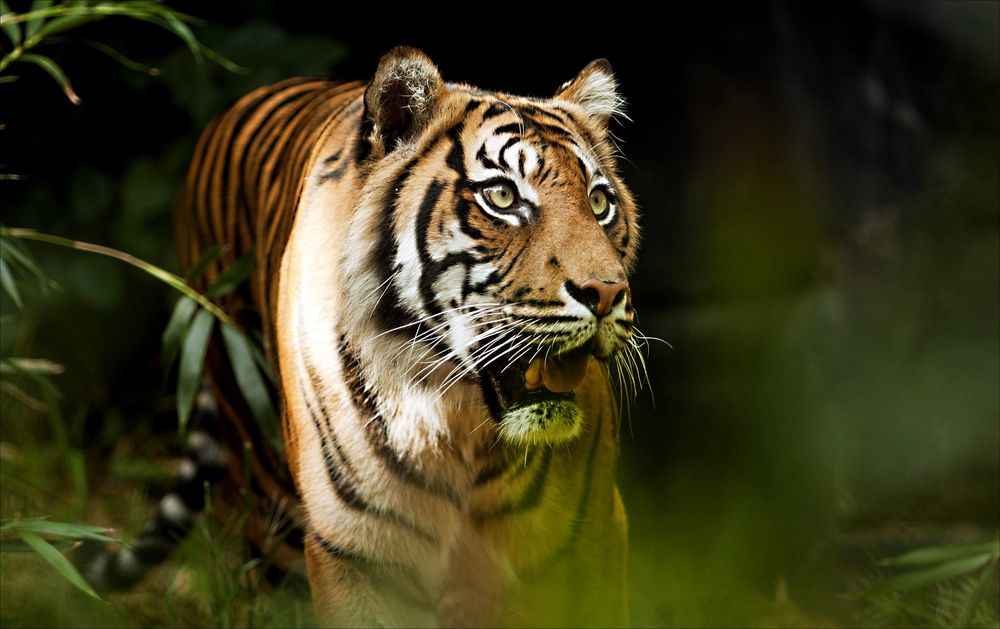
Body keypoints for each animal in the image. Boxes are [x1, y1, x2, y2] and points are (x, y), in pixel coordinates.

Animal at [168, 46, 640, 627]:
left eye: (599, 203)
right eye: (502, 196)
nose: (607, 292)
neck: (462, 425)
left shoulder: (591, 541)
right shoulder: (352, 552)